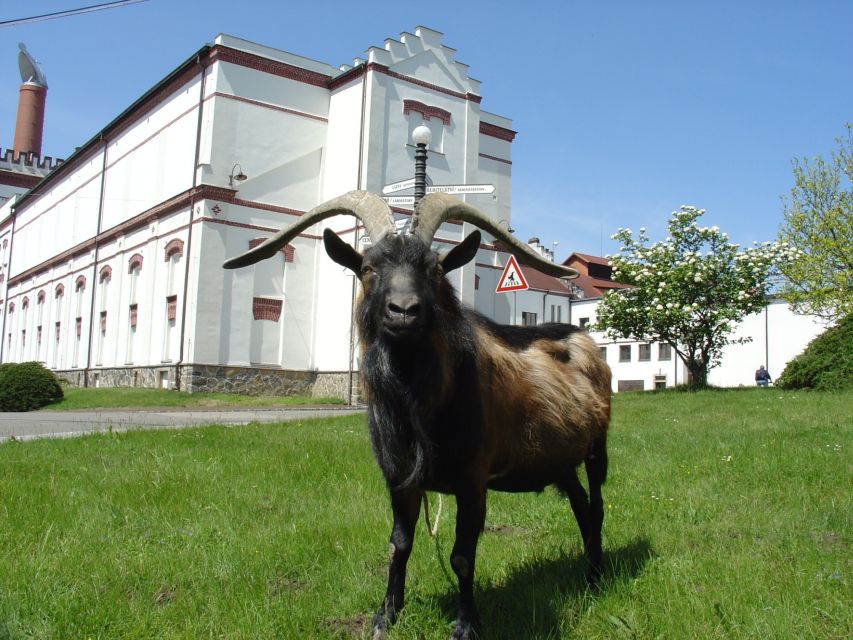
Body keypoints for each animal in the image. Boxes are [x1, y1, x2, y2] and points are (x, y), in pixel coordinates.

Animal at [225, 192, 612, 640]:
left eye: (434, 268)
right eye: (369, 268)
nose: (403, 311)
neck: (423, 408)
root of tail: (586, 339)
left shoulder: (473, 478)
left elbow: (462, 556)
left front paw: (466, 624)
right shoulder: (399, 478)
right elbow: (399, 544)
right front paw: (385, 616)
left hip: (596, 448)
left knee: (597, 505)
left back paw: (596, 578)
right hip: (558, 459)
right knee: (581, 505)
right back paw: (587, 572)